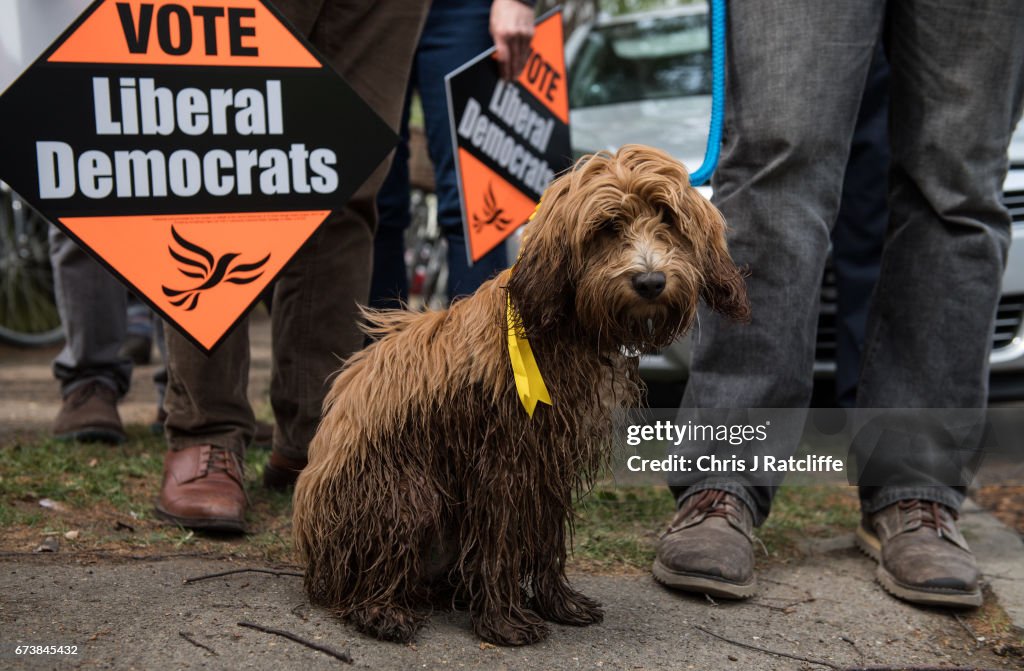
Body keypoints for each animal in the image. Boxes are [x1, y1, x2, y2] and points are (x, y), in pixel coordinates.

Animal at [292, 145, 749, 647]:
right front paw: (503, 620)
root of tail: (316, 562)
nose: (650, 282)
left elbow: (547, 539)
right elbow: (498, 545)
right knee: (374, 569)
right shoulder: (500, 463)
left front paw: (557, 603)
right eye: (608, 226)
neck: (560, 326)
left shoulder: (548, 463)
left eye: (667, 216)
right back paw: (381, 609)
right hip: (403, 490)